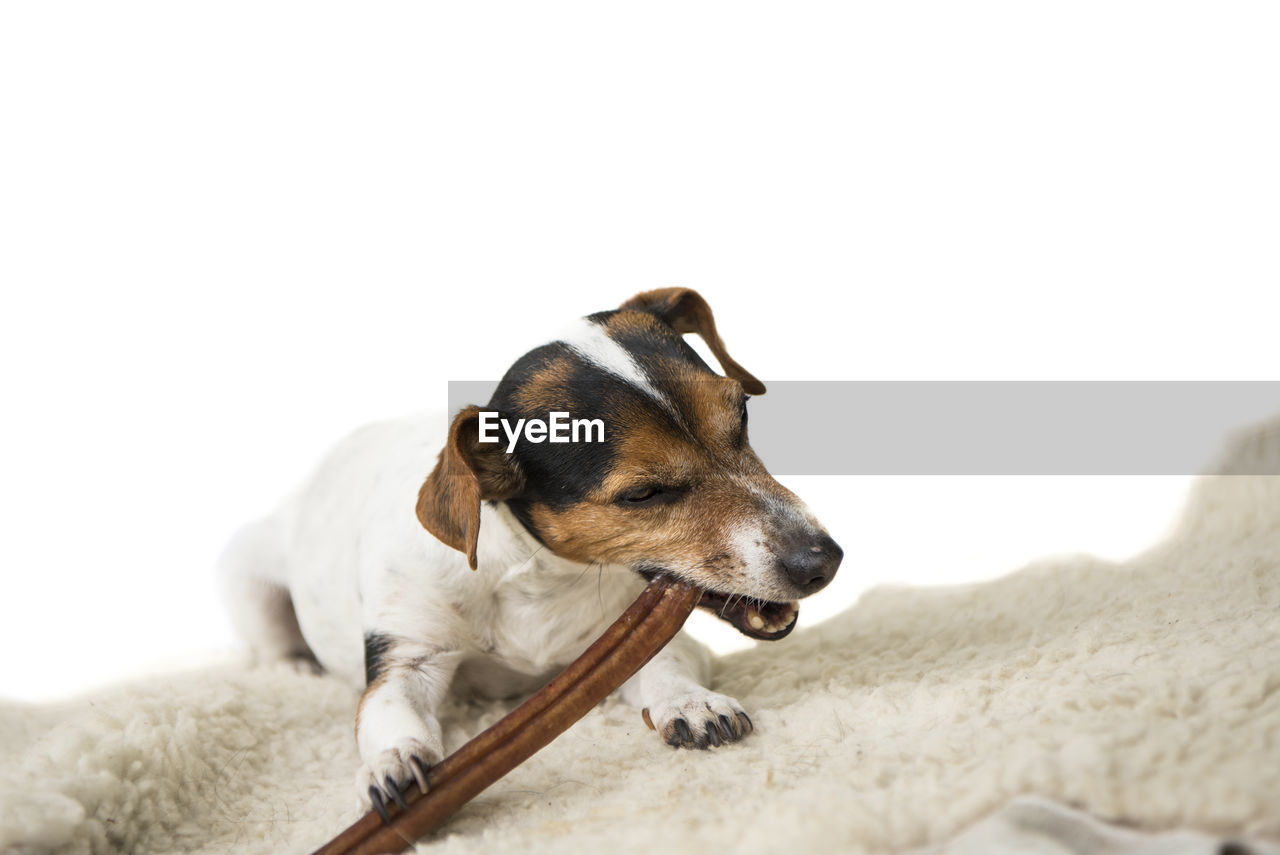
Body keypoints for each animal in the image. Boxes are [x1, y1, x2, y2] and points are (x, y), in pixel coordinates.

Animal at [217, 290, 839, 819]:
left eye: (743, 416)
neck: (535, 576)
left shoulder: (635, 638)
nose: (824, 560)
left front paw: (692, 704)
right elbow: (390, 715)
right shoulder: (405, 657)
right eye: (642, 494)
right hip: (244, 571)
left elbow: (667, 667)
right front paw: (392, 762)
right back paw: (295, 666)